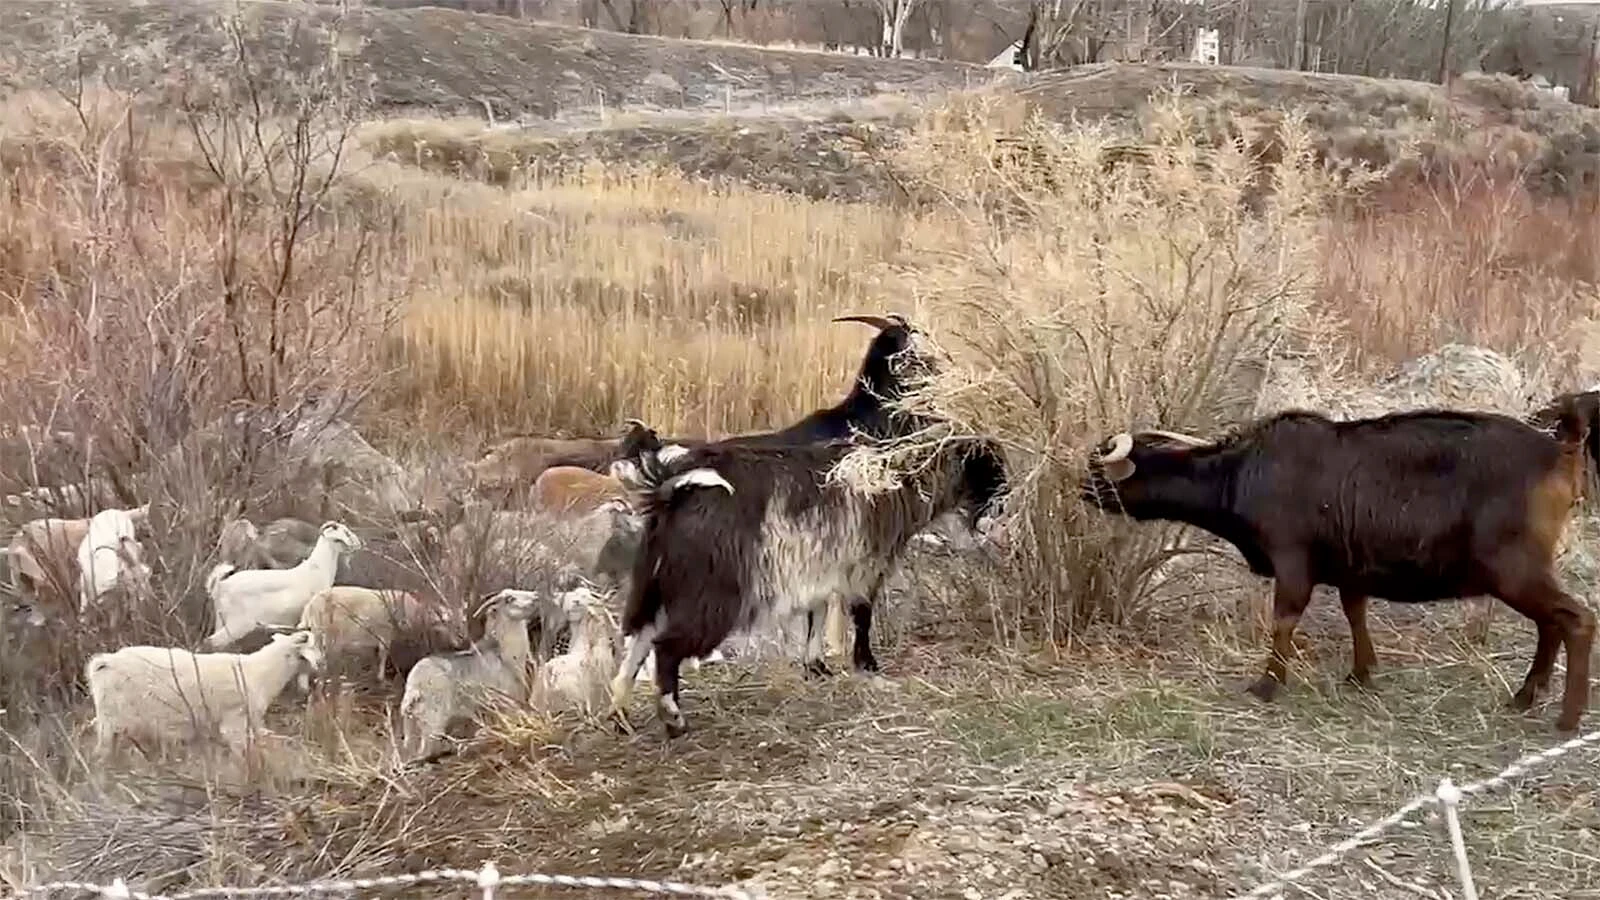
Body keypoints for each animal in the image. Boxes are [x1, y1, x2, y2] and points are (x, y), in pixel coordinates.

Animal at [86, 630, 324, 760]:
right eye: (312, 646)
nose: (322, 663)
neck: (260, 672)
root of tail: (105, 662)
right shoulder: (235, 720)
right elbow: (242, 753)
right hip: (115, 720)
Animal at [203, 521, 363, 649]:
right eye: (343, 535)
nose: (358, 543)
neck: (317, 568)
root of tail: (220, 585)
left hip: (221, 620)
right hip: (237, 624)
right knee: (210, 642)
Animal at [398, 588, 541, 763]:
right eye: (509, 599)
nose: (536, 597)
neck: (502, 653)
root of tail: (414, 687)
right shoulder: (505, 701)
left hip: (411, 723)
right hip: (433, 718)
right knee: (425, 752)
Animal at [608, 435, 1008, 738]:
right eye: (989, 467)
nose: (1002, 501)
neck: (899, 480)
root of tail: (671, 492)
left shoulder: (820, 569)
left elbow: (817, 614)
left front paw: (816, 667)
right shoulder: (864, 566)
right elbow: (862, 614)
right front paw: (866, 664)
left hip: (659, 582)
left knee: (640, 638)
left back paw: (619, 712)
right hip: (711, 592)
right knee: (666, 647)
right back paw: (673, 718)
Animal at [1080, 408, 1596, 733]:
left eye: (1105, 468)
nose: (1079, 487)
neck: (1244, 472)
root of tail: (1561, 451)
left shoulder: (1292, 561)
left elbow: (1285, 619)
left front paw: (1267, 684)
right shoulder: (1350, 570)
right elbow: (1355, 611)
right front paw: (1361, 674)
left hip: (1514, 571)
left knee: (1576, 620)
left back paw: (1566, 719)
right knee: (1551, 624)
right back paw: (1526, 696)